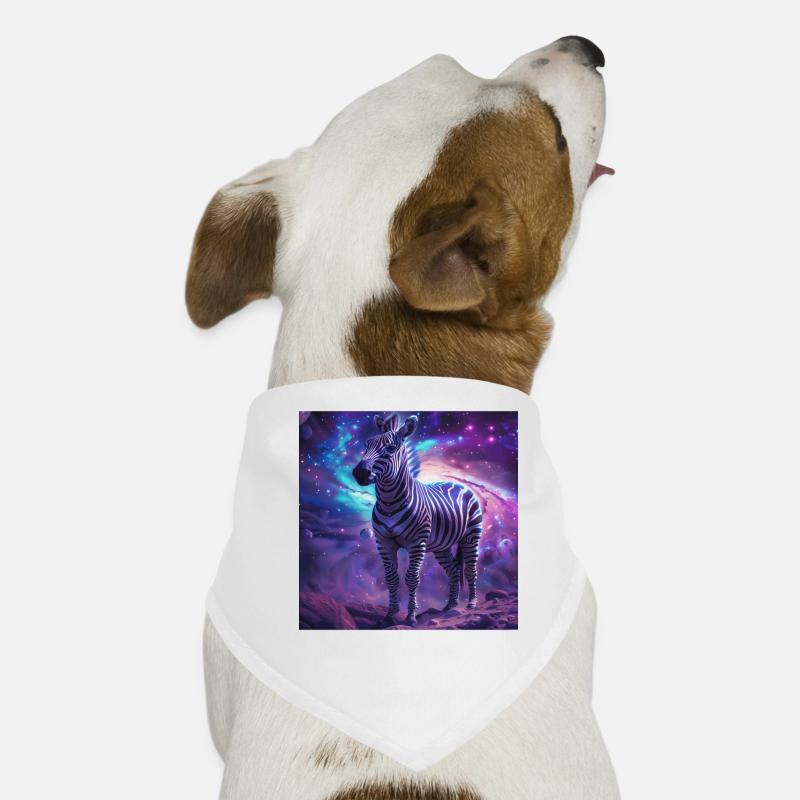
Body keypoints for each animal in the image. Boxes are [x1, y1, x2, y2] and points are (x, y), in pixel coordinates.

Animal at [352, 413, 482, 626]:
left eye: (391, 448)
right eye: (366, 445)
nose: (359, 473)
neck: (389, 503)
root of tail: (459, 484)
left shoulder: (417, 543)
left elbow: (412, 578)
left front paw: (411, 617)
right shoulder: (383, 542)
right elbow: (391, 579)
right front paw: (389, 616)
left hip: (471, 536)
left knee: (471, 569)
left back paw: (471, 604)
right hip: (442, 546)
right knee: (454, 570)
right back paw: (450, 605)